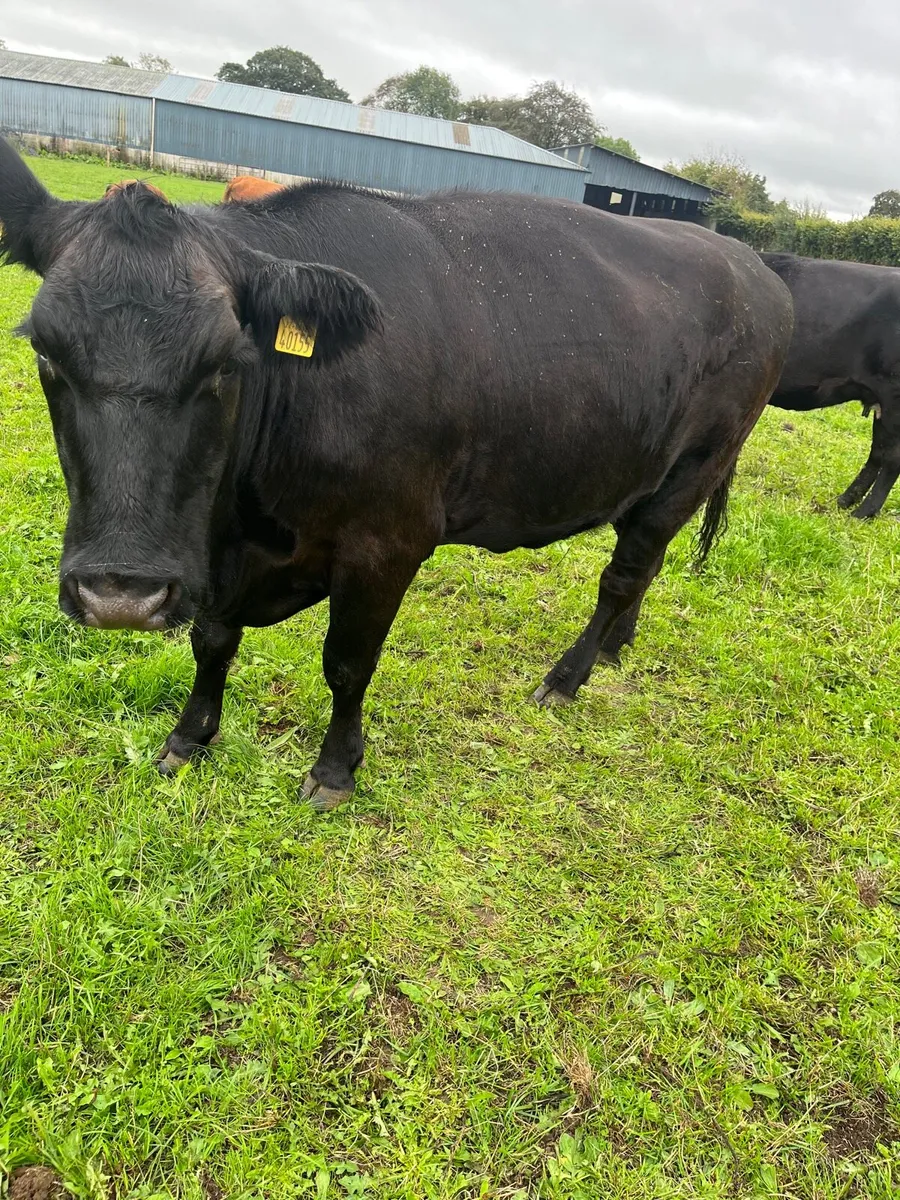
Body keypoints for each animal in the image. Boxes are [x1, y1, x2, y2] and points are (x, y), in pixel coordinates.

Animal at [0, 139, 793, 810]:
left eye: (226, 361)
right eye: (44, 351)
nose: (120, 594)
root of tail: (747, 259)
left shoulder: (388, 543)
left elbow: (347, 662)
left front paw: (334, 770)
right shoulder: (216, 554)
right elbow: (213, 640)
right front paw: (188, 738)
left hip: (695, 466)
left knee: (624, 573)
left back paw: (567, 678)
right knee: (644, 564)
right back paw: (616, 647)